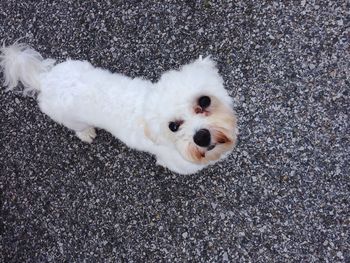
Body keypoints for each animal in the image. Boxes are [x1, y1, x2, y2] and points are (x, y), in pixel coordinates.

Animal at [0, 42, 238, 175]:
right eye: (173, 126)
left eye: (204, 101)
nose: (201, 137)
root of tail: (46, 79)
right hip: (68, 118)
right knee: (77, 128)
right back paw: (86, 133)